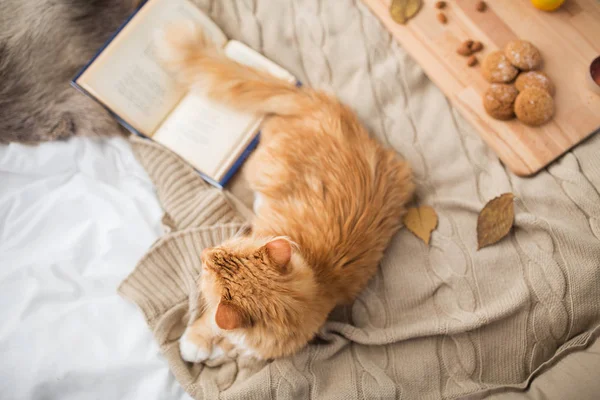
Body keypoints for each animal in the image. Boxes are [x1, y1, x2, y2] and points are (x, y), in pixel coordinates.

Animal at [156, 21, 412, 362]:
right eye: (224, 250)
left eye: (211, 267)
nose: (205, 252)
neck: (317, 283)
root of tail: (317, 101)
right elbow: (212, 327)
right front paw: (200, 343)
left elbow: (219, 331)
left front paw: (200, 346)